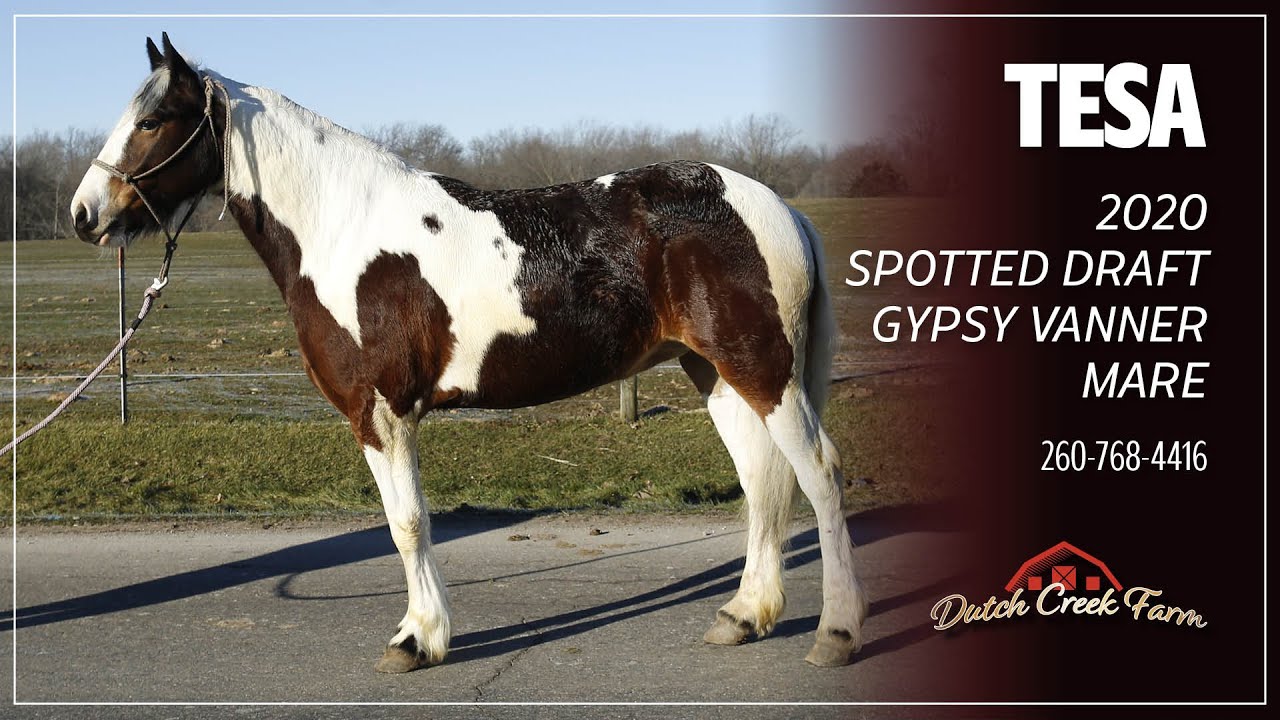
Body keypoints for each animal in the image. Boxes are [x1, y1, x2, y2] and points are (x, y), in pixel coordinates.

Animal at [69, 34, 869, 673]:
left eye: (151, 120)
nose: (84, 214)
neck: (343, 230)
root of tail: (780, 209)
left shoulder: (382, 415)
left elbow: (407, 523)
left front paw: (416, 639)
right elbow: (407, 523)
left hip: (765, 373)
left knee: (820, 475)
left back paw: (835, 632)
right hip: (721, 375)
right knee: (764, 483)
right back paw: (742, 616)